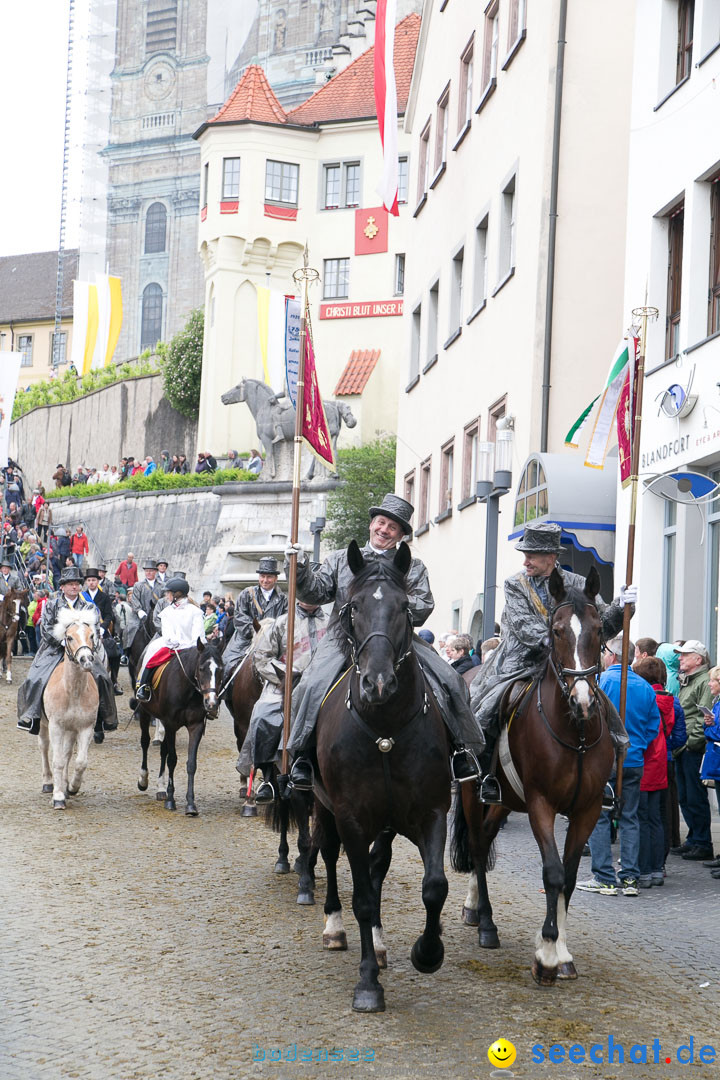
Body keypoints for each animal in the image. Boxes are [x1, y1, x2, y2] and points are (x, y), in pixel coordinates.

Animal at [39, 609, 99, 812]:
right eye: (70, 637)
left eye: (92, 635)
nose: (86, 659)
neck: (73, 691)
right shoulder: (56, 726)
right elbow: (57, 760)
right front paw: (58, 797)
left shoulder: (85, 728)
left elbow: (80, 762)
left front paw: (72, 787)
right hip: (43, 725)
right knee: (44, 747)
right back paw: (48, 783)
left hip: (71, 730)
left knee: (66, 754)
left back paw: (65, 786)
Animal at [136, 639, 223, 812]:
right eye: (201, 669)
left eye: (221, 670)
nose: (211, 703)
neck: (188, 690)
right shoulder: (170, 724)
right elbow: (172, 760)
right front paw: (171, 800)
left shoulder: (195, 726)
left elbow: (191, 764)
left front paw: (190, 804)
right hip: (144, 711)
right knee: (145, 742)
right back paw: (143, 780)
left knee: (163, 750)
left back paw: (161, 788)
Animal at [220, 382, 354, 479]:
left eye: (237, 387)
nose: (222, 397)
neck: (264, 408)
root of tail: (333, 407)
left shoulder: (266, 439)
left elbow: (269, 456)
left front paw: (268, 475)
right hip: (332, 437)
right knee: (333, 454)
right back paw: (331, 474)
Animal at [310, 544, 451, 1015]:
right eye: (353, 607)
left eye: (404, 607)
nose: (378, 683)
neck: (385, 728)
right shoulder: (351, 818)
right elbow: (364, 899)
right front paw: (368, 983)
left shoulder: (432, 812)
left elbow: (434, 887)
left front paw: (427, 952)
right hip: (323, 806)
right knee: (327, 854)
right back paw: (334, 926)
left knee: (376, 867)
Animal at [451, 570, 613, 984]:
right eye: (556, 631)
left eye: (598, 630)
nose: (583, 701)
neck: (577, 733)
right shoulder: (542, 803)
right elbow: (552, 873)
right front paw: (547, 955)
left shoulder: (587, 810)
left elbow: (569, 877)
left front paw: (564, 954)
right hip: (473, 792)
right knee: (477, 845)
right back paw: (486, 924)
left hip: (504, 800)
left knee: (486, 837)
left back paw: (473, 908)